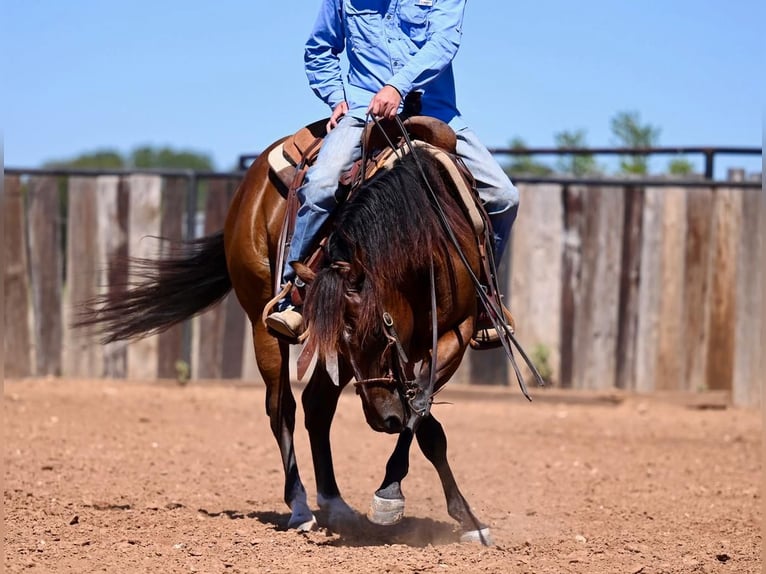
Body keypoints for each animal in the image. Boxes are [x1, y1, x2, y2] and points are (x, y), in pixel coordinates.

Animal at [78, 126, 496, 544]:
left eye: (382, 328)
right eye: (358, 333)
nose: (385, 419)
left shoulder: (455, 335)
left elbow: (423, 417)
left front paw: (468, 518)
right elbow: (421, 418)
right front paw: (391, 497)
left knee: (317, 405)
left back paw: (335, 503)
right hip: (263, 327)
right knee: (283, 408)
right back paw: (300, 507)